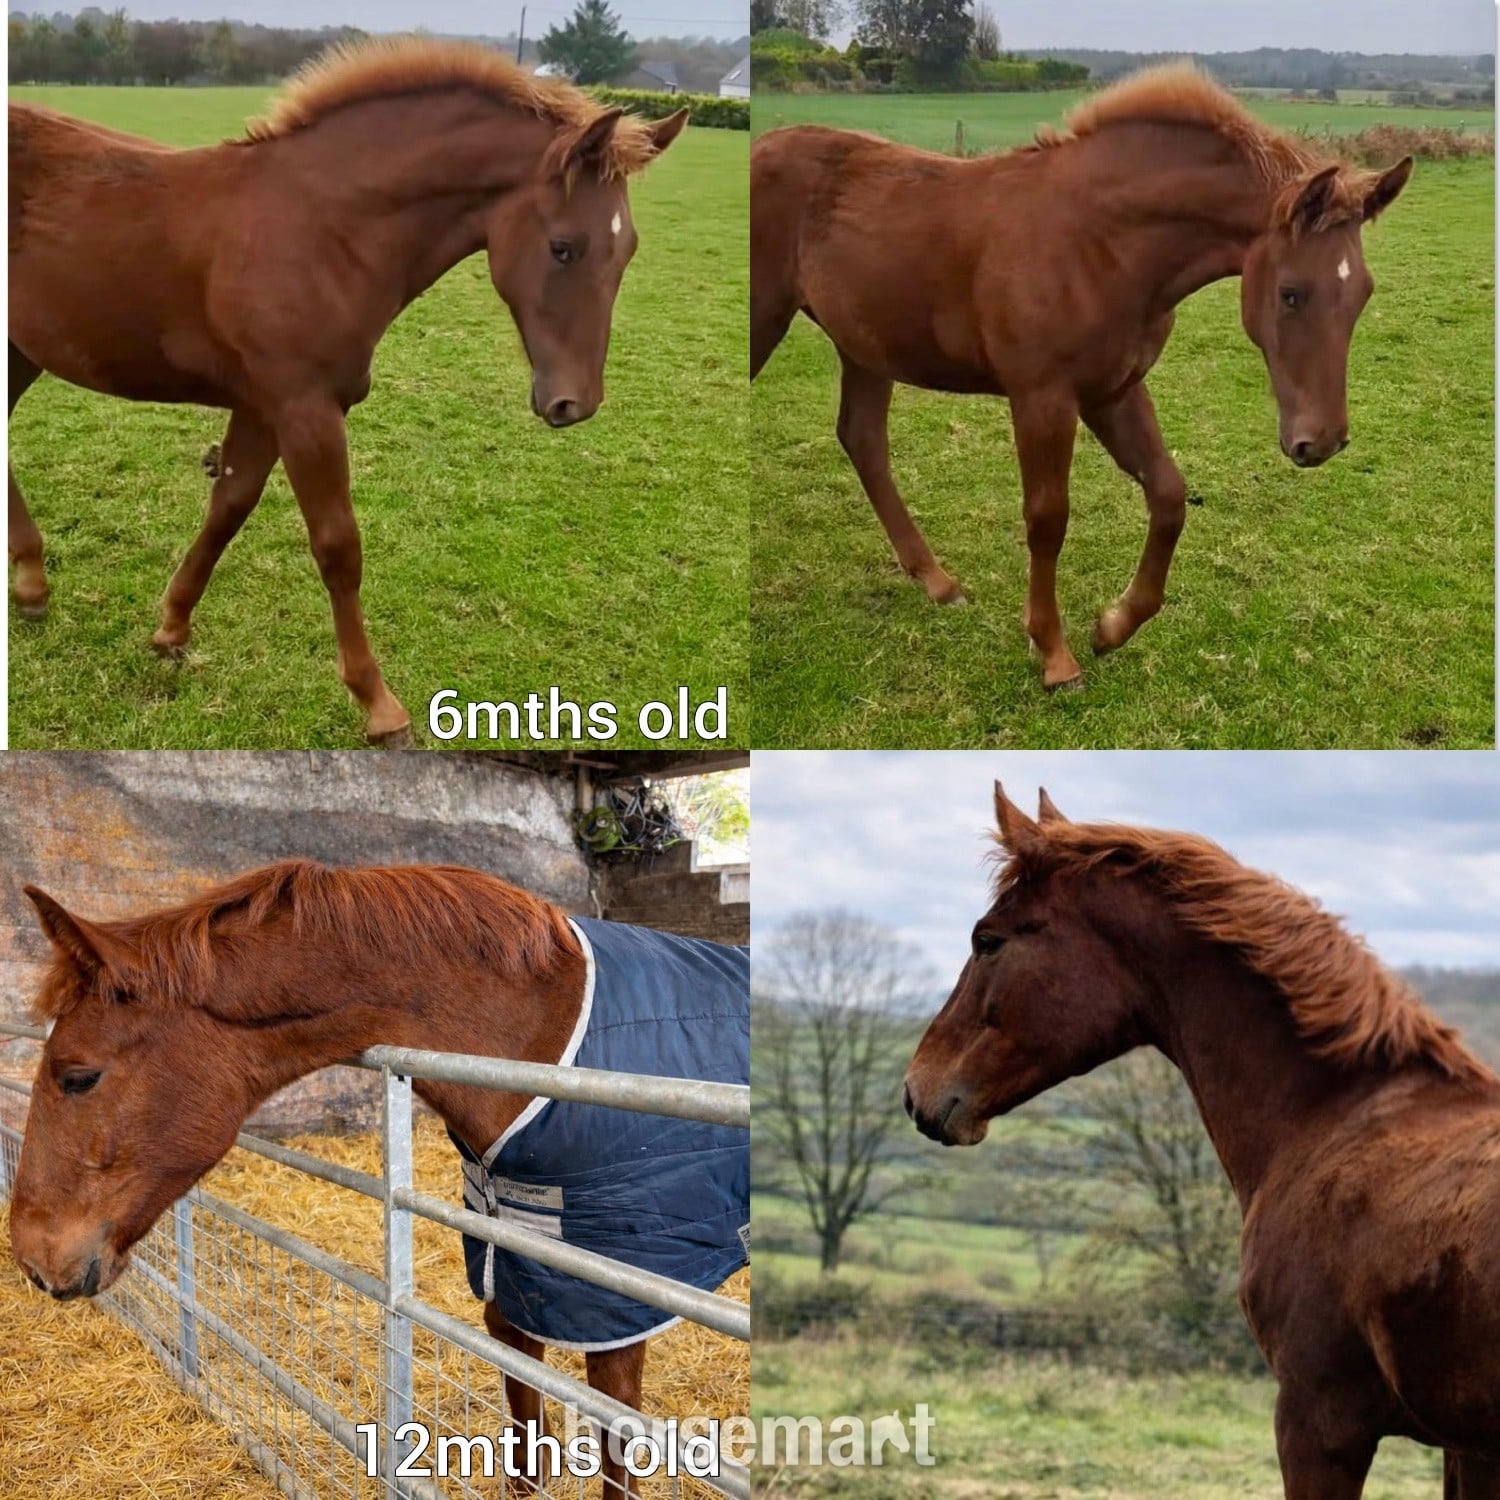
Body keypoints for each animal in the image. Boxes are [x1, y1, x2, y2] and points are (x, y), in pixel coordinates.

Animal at [6, 860, 747, 1498]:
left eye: (78, 1076)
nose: (34, 1258)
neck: (545, 1032)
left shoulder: (618, 1292)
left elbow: (617, 1446)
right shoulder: (512, 1272)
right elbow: (524, 1435)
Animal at [9, 38, 688, 744]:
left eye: (627, 250)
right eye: (563, 248)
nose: (573, 403)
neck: (324, 230)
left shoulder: (262, 406)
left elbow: (228, 508)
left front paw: (171, 628)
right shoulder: (304, 409)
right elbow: (338, 546)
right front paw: (379, 704)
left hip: (21, 350)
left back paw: (31, 585)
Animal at [750, 67, 1412, 690]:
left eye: (1363, 293)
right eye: (1291, 293)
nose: (1320, 442)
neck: (1100, 239)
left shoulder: (1113, 390)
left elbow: (1169, 496)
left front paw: (1112, 626)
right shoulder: (1042, 398)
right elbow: (1048, 517)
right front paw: (1055, 655)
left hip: (864, 346)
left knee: (863, 440)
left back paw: (938, 582)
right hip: (771, 321)